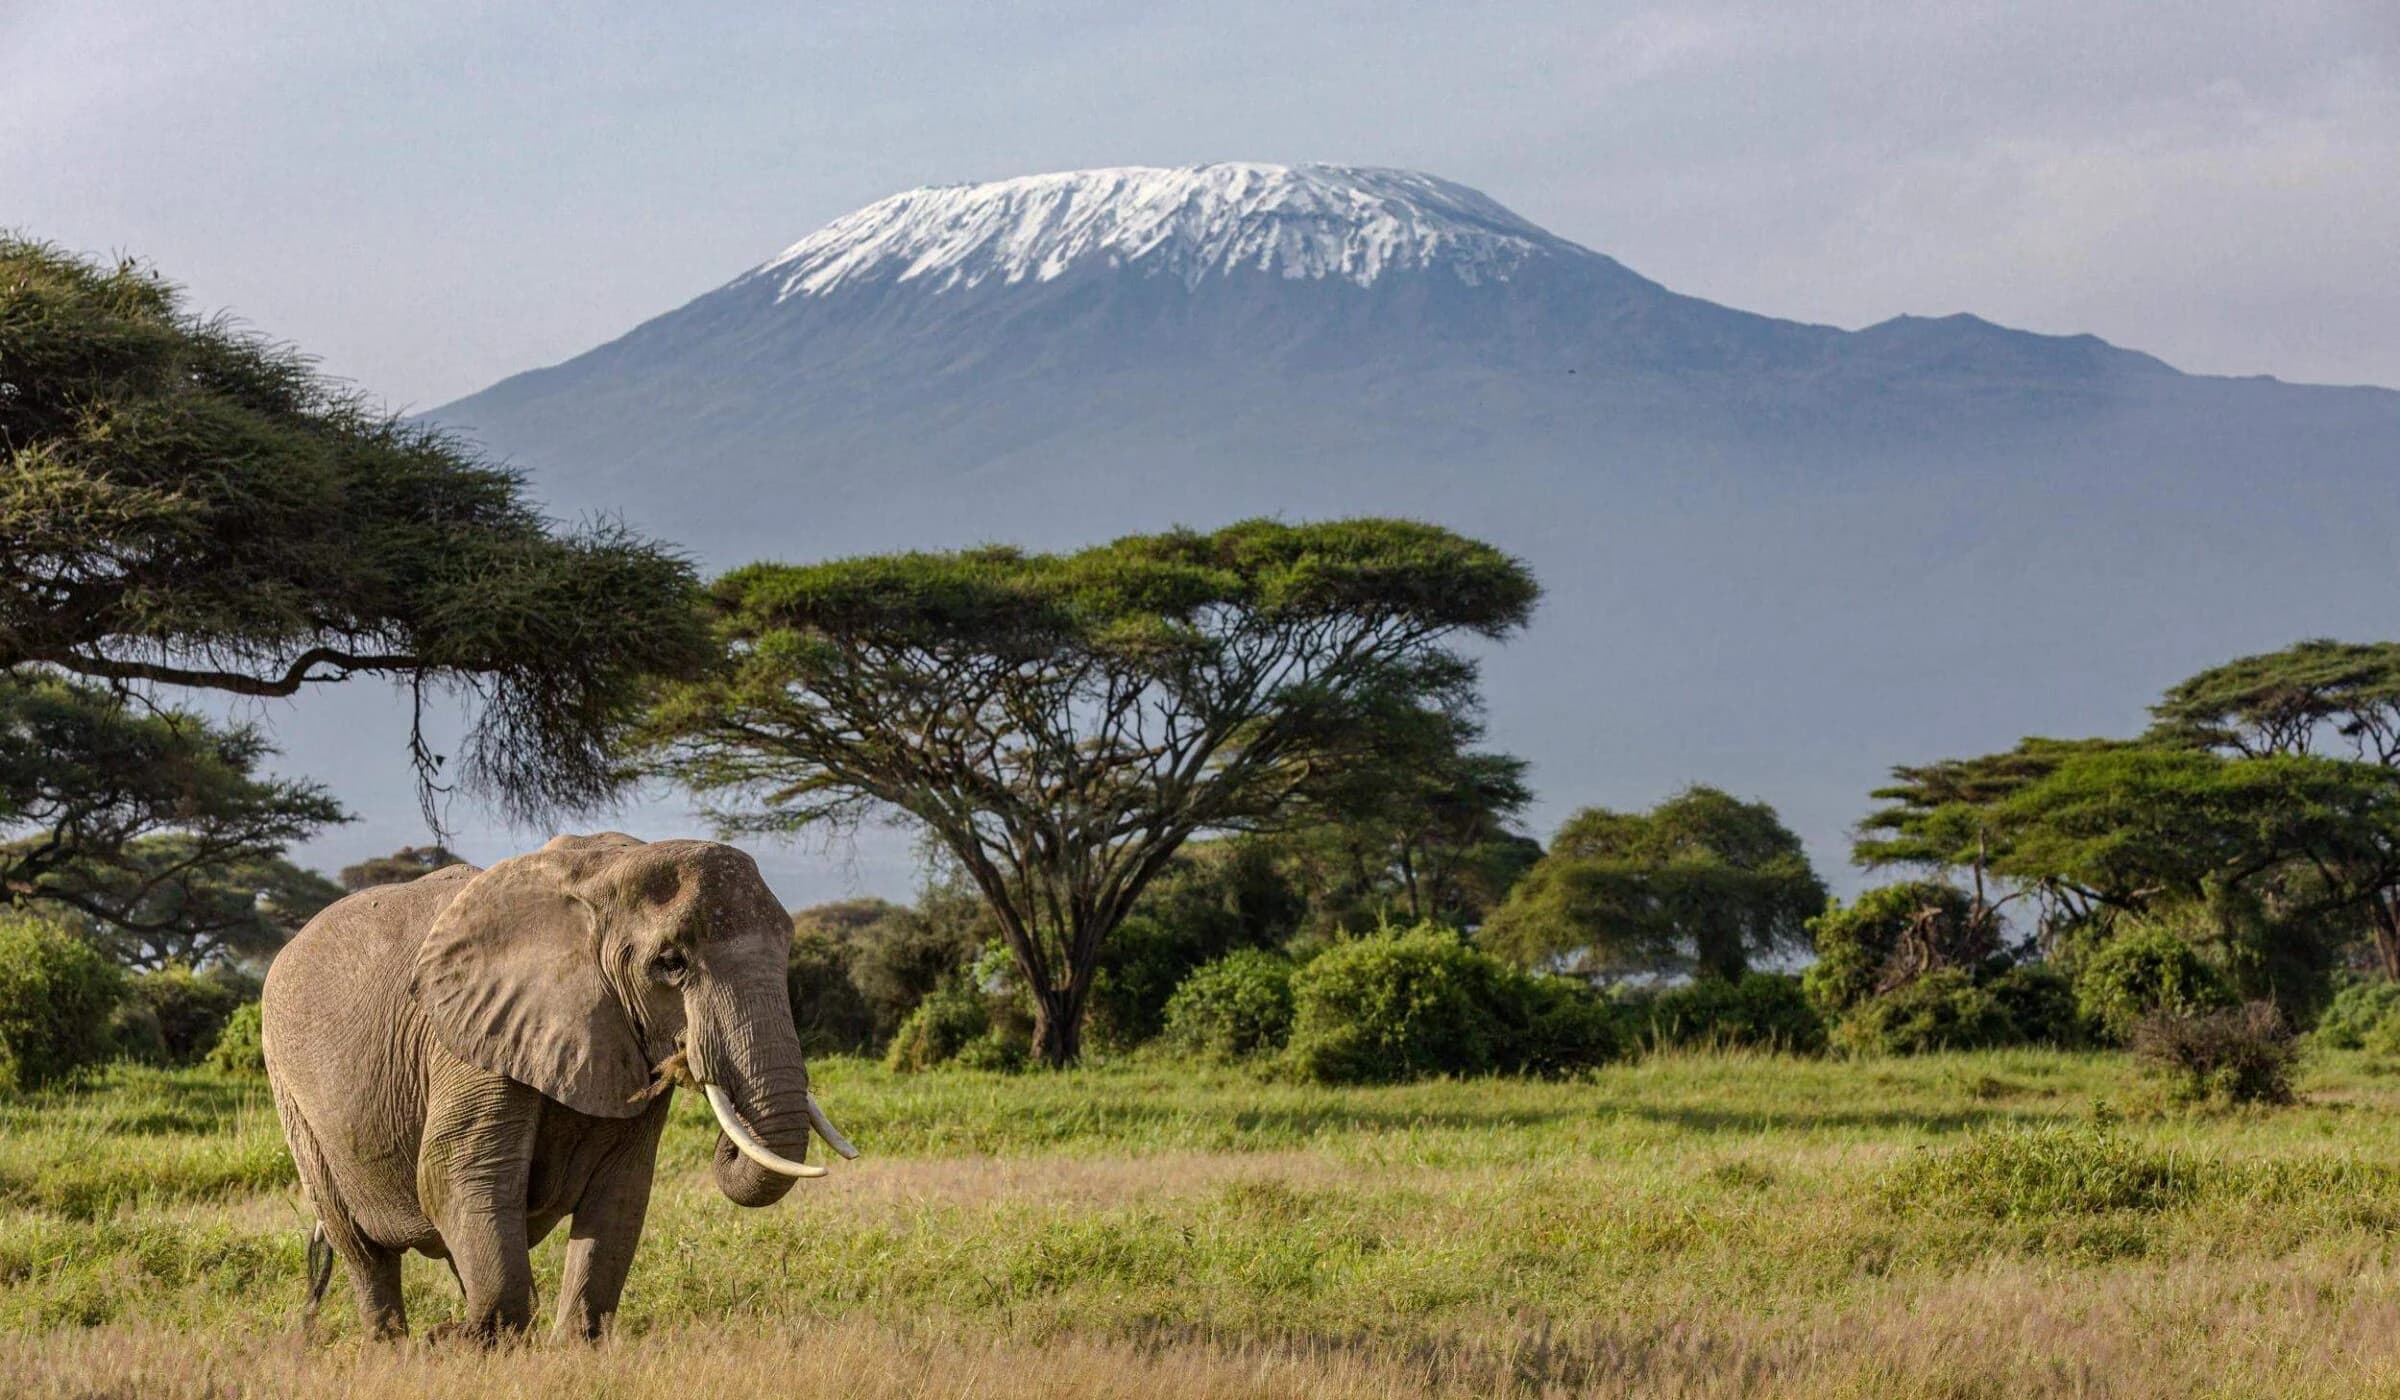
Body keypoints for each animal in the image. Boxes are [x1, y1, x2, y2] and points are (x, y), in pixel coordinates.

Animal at [261, 832, 855, 1341]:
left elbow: (622, 1188)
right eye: (671, 964)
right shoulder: (469, 1036)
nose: (695, 1061)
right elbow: (459, 1174)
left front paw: (574, 1347)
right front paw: (459, 1343)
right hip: (291, 1093)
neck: (599, 877)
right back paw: (396, 1348)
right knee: (362, 1248)